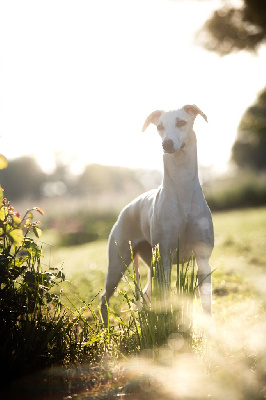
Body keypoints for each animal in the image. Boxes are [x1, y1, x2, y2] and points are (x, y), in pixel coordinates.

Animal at [100, 104, 214, 326]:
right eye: (160, 126)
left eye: (181, 122)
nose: (167, 144)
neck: (182, 189)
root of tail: (126, 209)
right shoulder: (166, 258)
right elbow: (168, 298)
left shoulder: (203, 258)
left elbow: (206, 304)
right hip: (119, 262)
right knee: (104, 298)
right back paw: (107, 329)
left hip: (148, 262)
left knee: (145, 293)